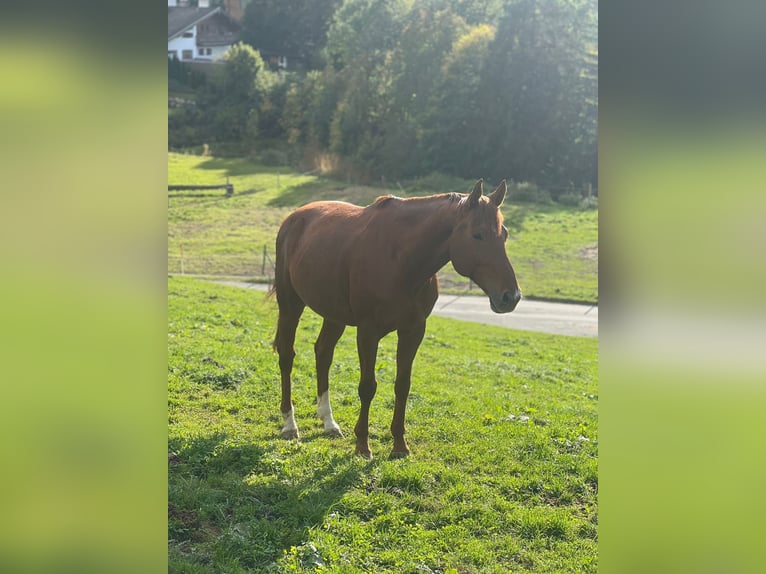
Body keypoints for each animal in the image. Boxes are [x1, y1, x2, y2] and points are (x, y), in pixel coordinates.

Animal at [272, 179, 521, 459]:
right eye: (477, 234)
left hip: (334, 315)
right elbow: (367, 387)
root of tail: (295, 217)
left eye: (504, 234)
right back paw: (290, 424)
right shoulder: (368, 332)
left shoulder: (413, 330)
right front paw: (363, 445)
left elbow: (402, 385)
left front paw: (400, 445)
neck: (400, 260)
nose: (510, 296)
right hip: (290, 304)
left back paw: (329, 422)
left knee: (323, 354)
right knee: (287, 356)